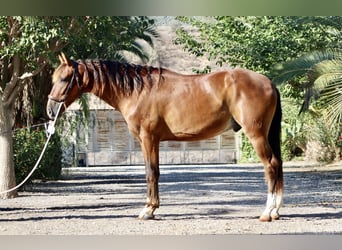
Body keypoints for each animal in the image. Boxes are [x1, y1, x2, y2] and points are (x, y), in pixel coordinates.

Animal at [47, 53, 284, 222]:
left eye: (65, 79)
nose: (50, 110)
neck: (138, 91)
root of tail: (269, 82)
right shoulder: (149, 141)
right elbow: (152, 172)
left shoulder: (148, 138)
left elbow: (151, 173)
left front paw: (148, 210)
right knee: (277, 164)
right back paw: (275, 211)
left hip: (256, 135)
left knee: (271, 165)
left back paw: (267, 212)